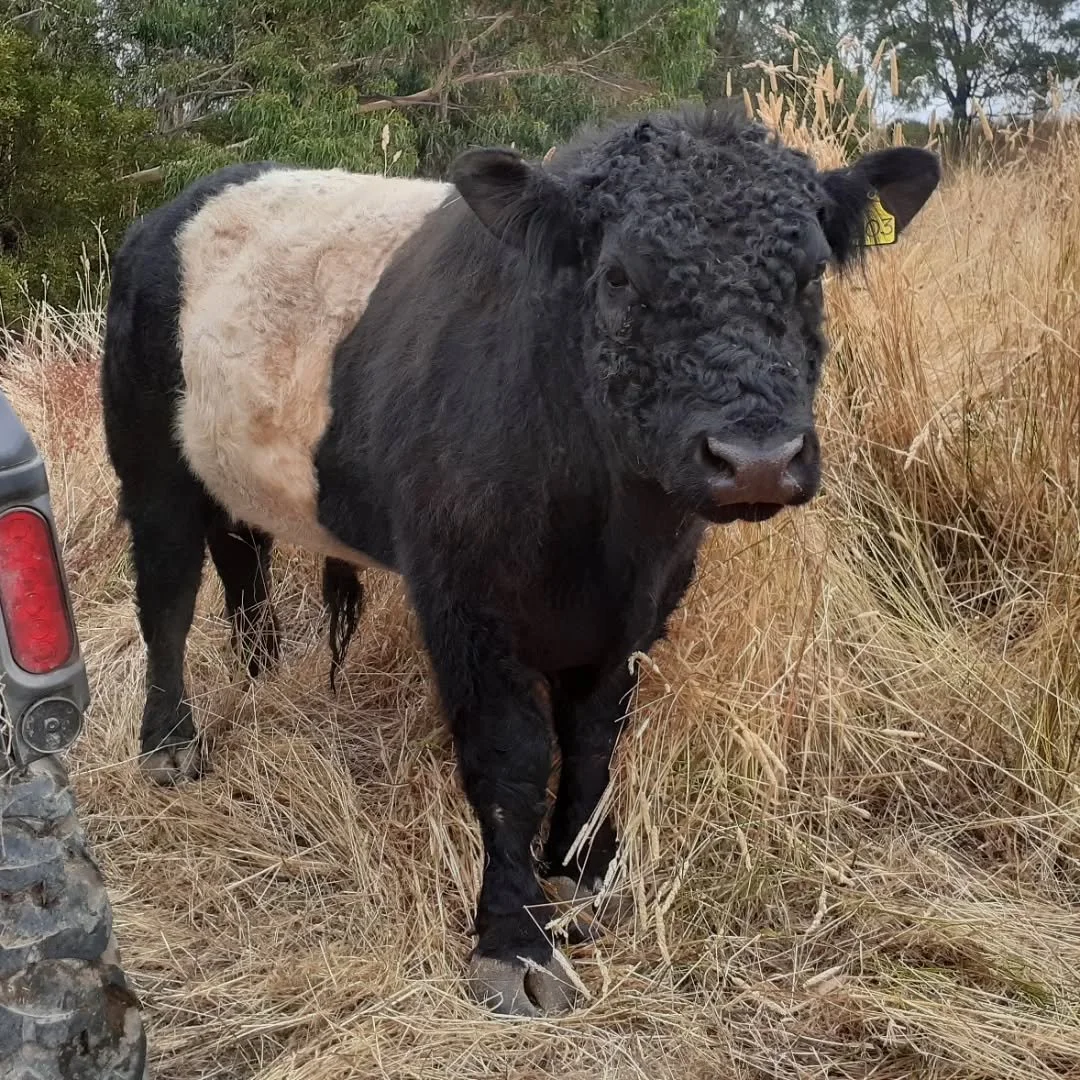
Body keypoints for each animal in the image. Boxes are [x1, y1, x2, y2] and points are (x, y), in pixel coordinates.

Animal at [101, 104, 940, 1016]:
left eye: (812, 275)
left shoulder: (646, 600)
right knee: (168, 598)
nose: (755, 458)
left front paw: (581, 875)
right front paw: (515, 942)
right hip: (149, 465)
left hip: (228, 473)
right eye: (618, 278)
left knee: (242, 568)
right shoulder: (463, 595)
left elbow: (597, 738)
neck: (608, 526)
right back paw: (170, 747)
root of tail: (174, 207)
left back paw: (262, 685)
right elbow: (510, 758)